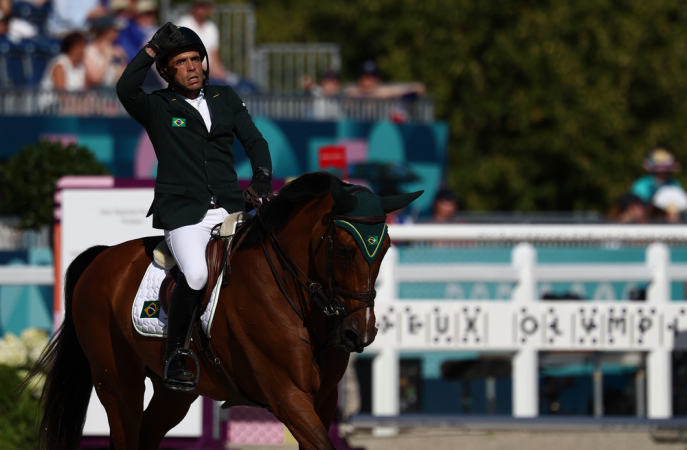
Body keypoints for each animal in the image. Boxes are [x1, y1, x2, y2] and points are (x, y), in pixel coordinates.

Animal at [25, 173, 420, 450]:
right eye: (343, 251)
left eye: (385, 248)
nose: (359, 332)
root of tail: (102, 257)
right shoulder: (288, 396)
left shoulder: (323, 399)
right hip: (118, 384)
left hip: (174, 393)